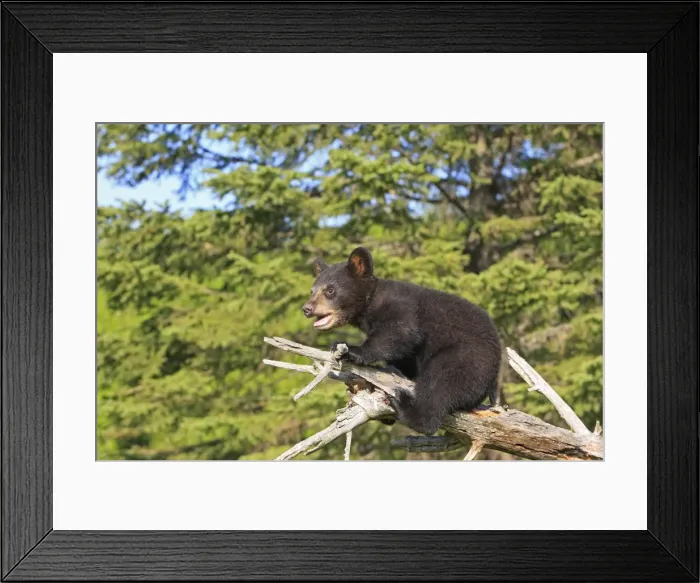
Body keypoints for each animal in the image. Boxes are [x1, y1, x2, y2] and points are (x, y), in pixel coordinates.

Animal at [301, 246, 504, 436]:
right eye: (312, 290)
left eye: (330, 290)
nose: (307, 308)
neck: (370, 304)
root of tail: (493, 378)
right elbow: (405, 357)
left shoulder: (402, 307)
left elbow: (402, 332)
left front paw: (352, 350)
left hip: (469, 358)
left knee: (440, 383)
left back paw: (404, 407)